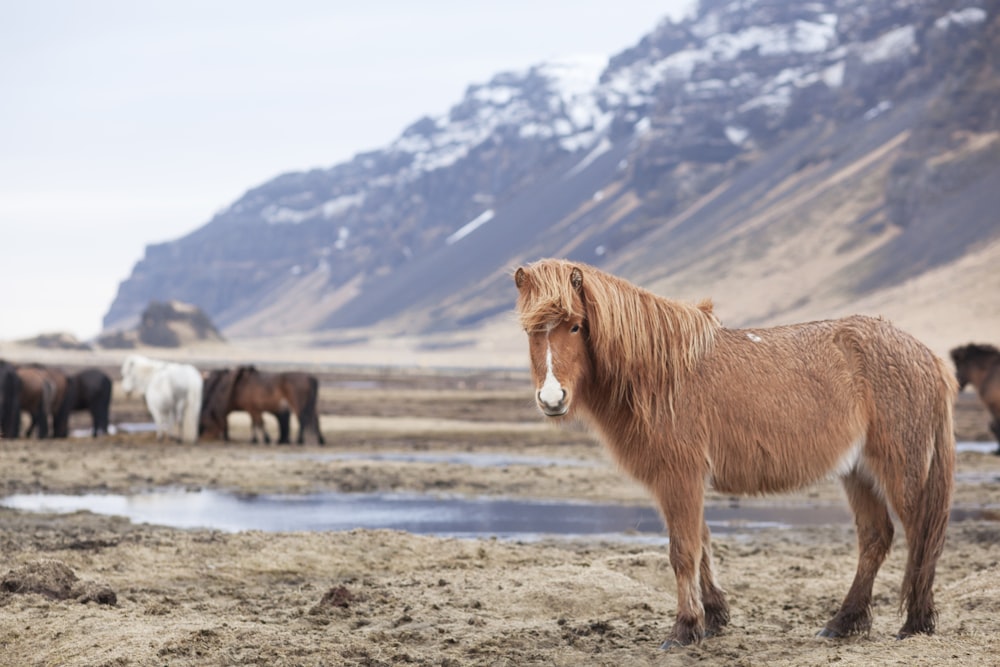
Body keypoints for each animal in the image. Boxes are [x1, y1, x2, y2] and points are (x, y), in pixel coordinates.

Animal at [512, 260, 956, 648]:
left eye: (575, 325)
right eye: (530, 331)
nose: (552, 399)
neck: (660, 375)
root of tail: (927, 356)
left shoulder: (680, 477)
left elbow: (683, 551)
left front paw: (684, 629)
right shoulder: (685, 481)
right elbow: (702, 542)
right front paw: (714, 616)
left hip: (901, 470)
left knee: (920, 534)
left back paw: (914, 624)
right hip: (858, 472)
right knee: (876, 537)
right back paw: (842, 622)